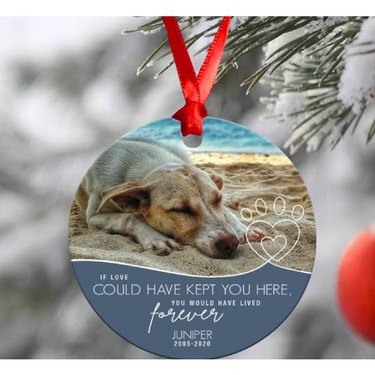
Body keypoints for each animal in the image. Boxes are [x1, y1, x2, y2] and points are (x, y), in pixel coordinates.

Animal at [75, 137, 264, 258]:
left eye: (217, 200)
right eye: (181, 210)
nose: (231, 243)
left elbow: (226, 213)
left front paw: (243, 229)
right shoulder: (94, 216)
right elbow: (130, 217)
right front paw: (156, 238)